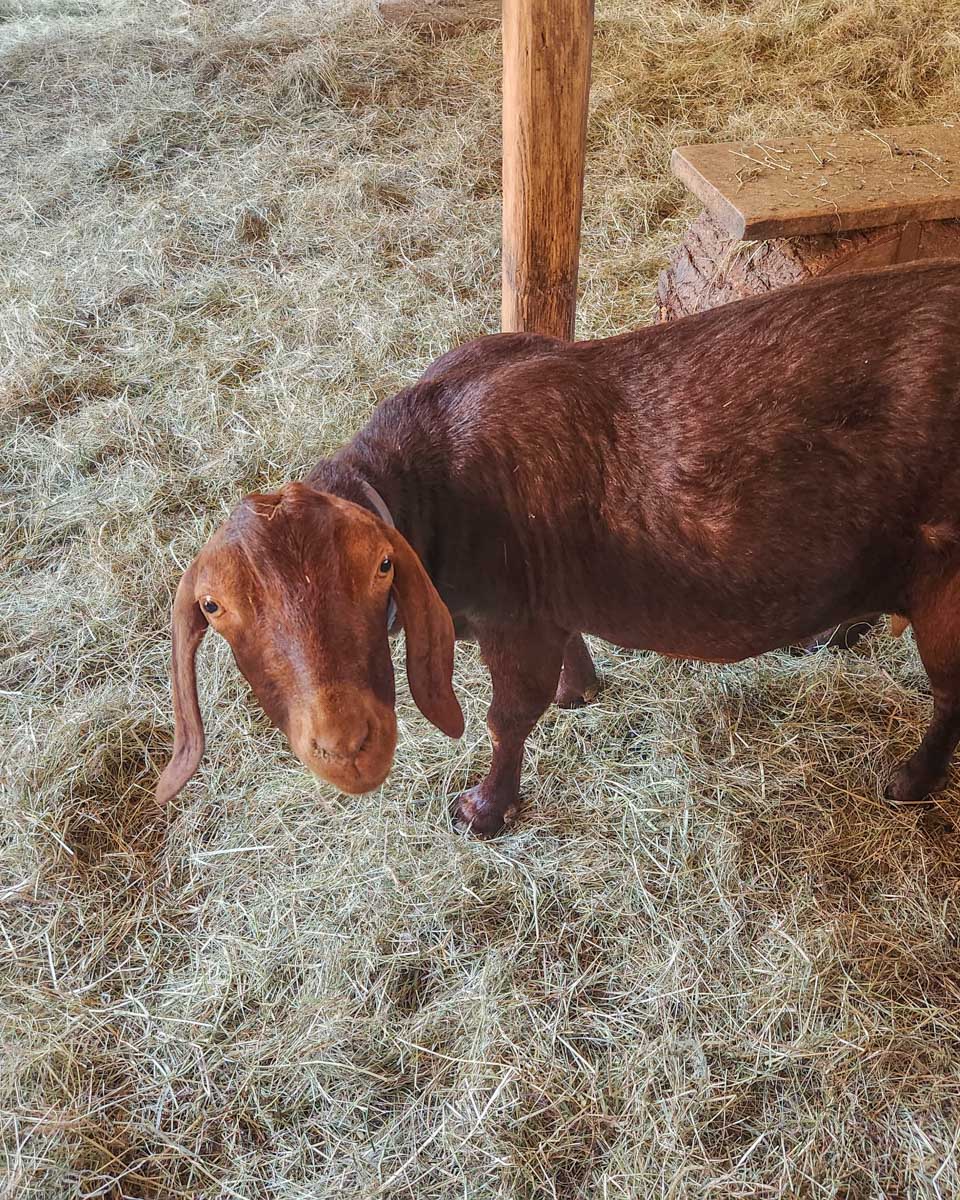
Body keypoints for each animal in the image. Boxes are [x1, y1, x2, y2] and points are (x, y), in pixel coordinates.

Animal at [156, 261, 960, 835]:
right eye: (215, 608)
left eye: (380, 566)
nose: (350, 748)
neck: (430, 480)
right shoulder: (549, 597)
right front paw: (583, 692)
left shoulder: (517, 619)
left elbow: (508, 717)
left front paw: (485, 810)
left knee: (953, 691)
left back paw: (910, 784)